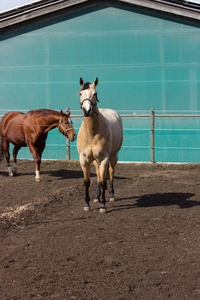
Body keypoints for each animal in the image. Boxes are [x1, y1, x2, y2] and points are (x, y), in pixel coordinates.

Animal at [77, 78, 122, 213]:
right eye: (80, 93)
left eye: (95, 94)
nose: (87, 110)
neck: (91, 134)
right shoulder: (84, 159)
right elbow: (87, 181)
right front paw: (87, 204)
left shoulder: (103, 159)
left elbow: (103, 181)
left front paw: (103, 205)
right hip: (95, 161)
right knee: (97, 174)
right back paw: (96, 197)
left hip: (113, 156)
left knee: (111, 173)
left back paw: (111, 196)